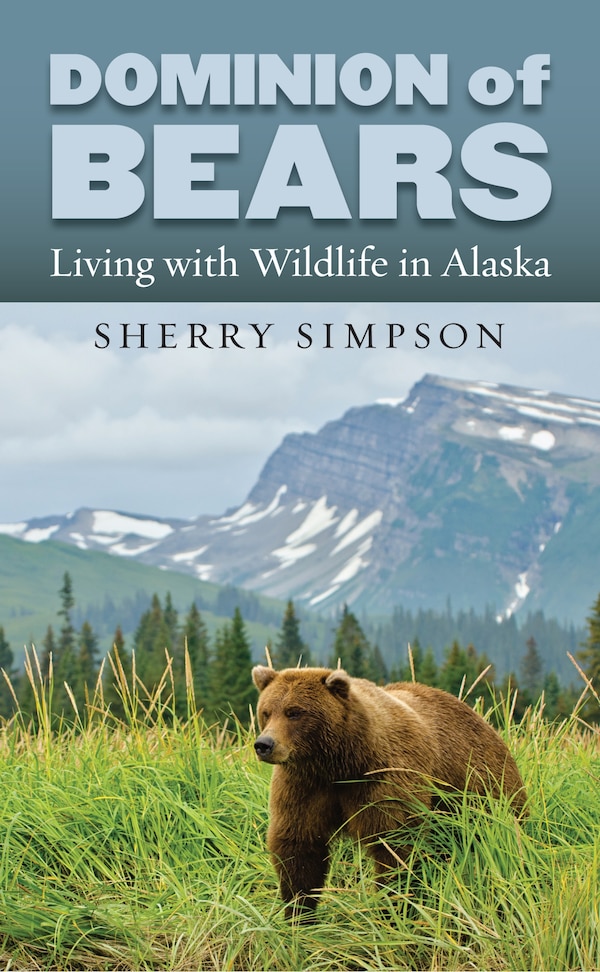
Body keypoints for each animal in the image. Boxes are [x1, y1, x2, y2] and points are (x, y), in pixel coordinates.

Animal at [252, 665, 527, 919]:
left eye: (295, 712)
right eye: (266, 712)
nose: (264, 744)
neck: (340, 764)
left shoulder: (386, 780)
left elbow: (395, 846)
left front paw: (393, 909)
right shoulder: (303, 786)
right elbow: (298, 846)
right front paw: (299, 914)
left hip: (481, 788)